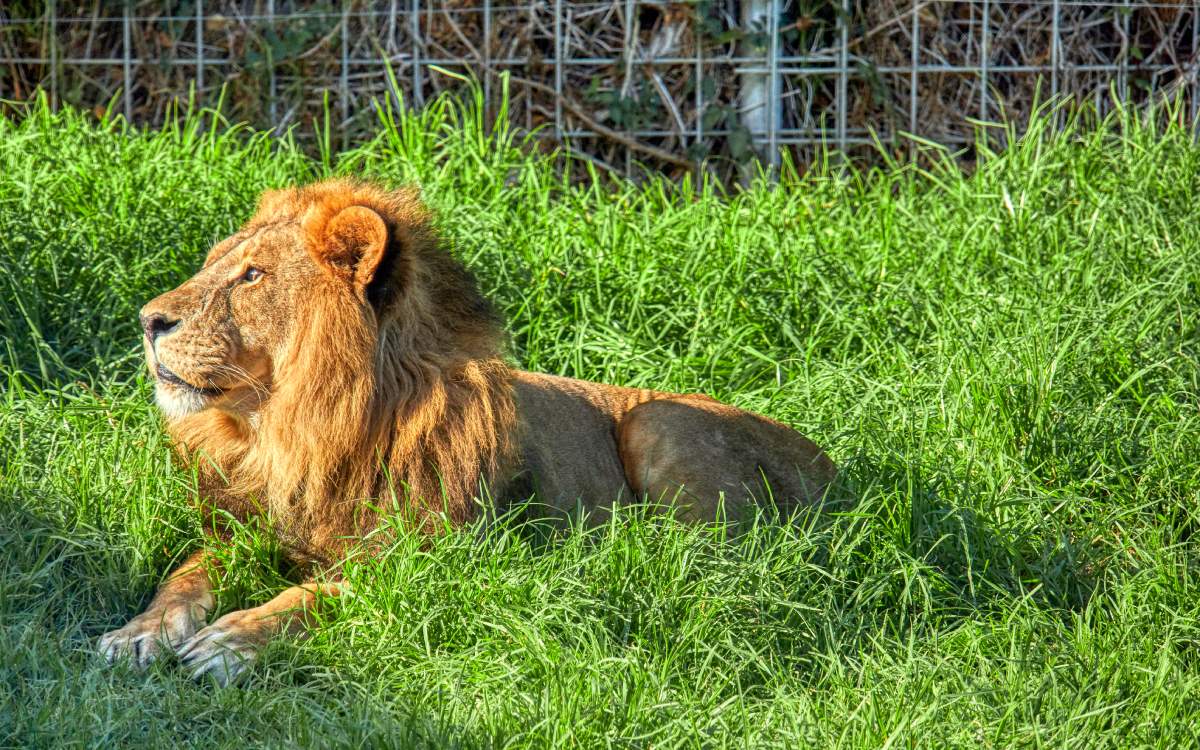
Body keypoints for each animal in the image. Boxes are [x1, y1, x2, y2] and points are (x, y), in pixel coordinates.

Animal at [97, 178, 836, 685]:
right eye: (217, 263)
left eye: (252, 275)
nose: (147, 320)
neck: (300, 430)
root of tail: (836, 468)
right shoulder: (243, 528)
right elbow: (184, 575)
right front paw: (138, 633)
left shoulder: (426, 561)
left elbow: (313, 597)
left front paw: (232, 642)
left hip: (661, 421)